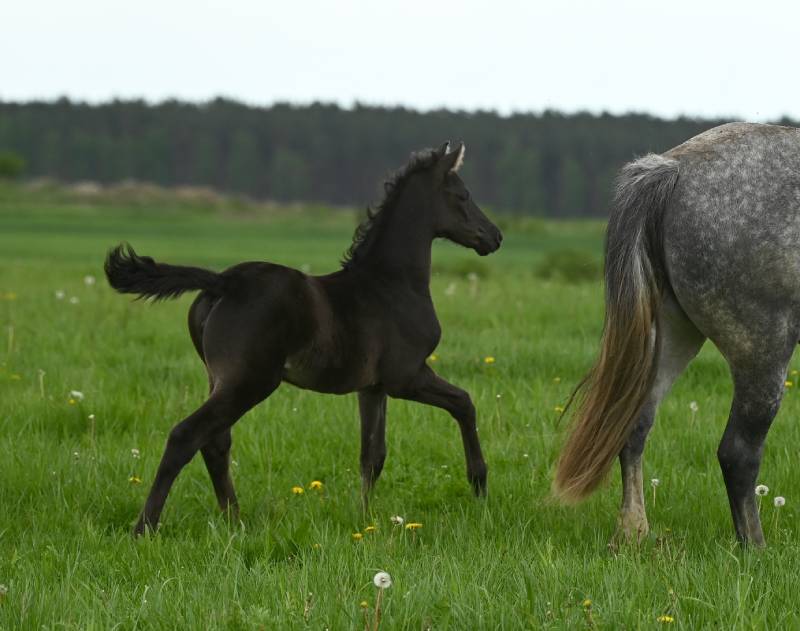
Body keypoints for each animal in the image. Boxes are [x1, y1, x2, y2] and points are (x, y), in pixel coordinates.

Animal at [105, 142, 500, 532]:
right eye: (463, 195)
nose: (494, 236)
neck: (392, 283)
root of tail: (224, 282)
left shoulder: (372, 387)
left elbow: (372, 455)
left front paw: (364, 518)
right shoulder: (407, 376)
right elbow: (464, 403)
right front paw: (479, 484)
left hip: (220, 379)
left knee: (215, 442)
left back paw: (235, 520)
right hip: (250, 382)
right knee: (186, 436)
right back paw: (146, 527)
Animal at [552, 123, 800, 548]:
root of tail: (675, 168)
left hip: (670, 336)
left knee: (634, 425)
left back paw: (633, 531)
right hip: (762, 350)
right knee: (737, 452)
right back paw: (755, 548)